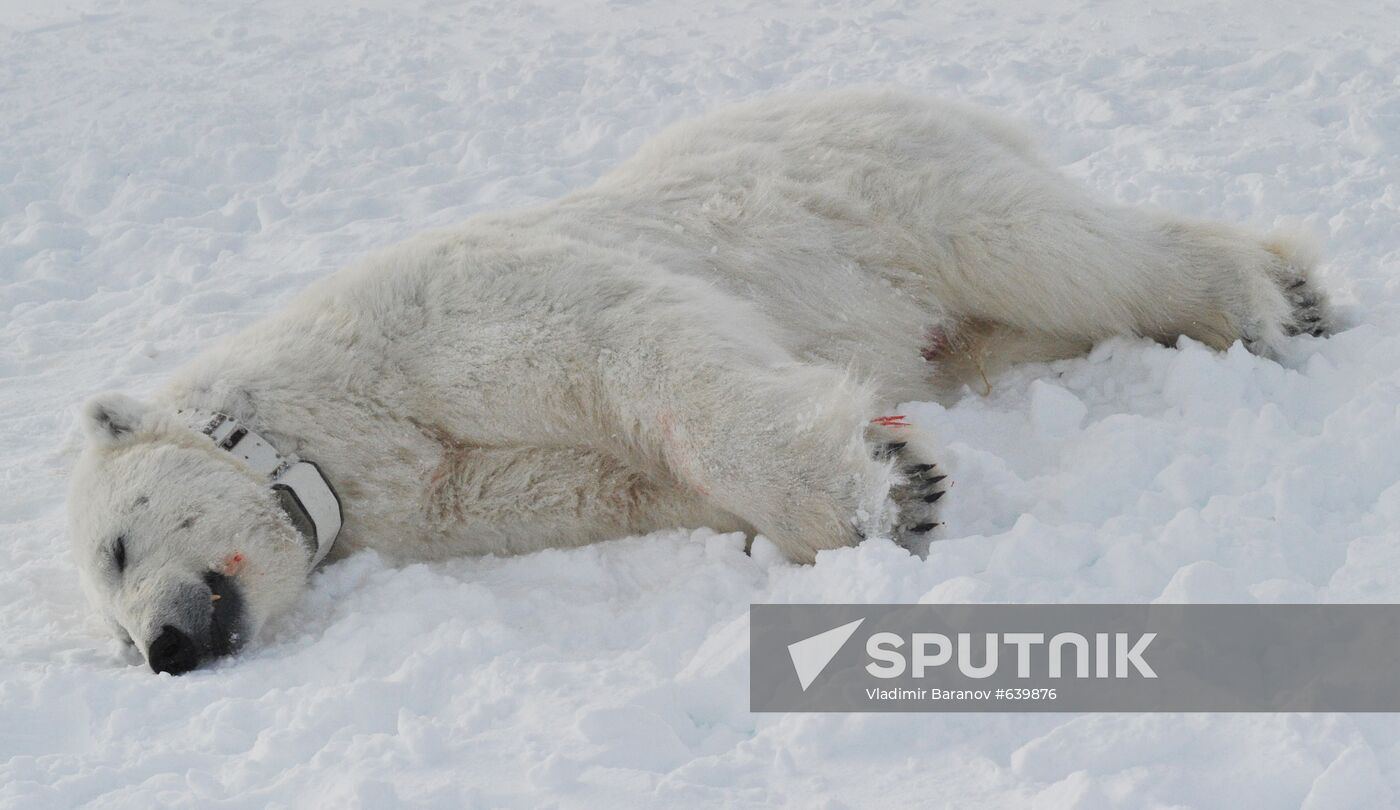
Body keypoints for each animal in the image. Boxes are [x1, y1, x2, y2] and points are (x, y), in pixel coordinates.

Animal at [68, 88, 1332, 674]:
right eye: (112, 626)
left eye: (118, 548)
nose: (165, 649)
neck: (333, 410)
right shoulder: (448, 495)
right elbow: (588, 485)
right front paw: (875, 479)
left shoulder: (451, 309)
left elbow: (634, 352)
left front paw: (886, 490)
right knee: (1007, 323)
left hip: (891, 186)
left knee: (1055, 251)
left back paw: (1266, 294)